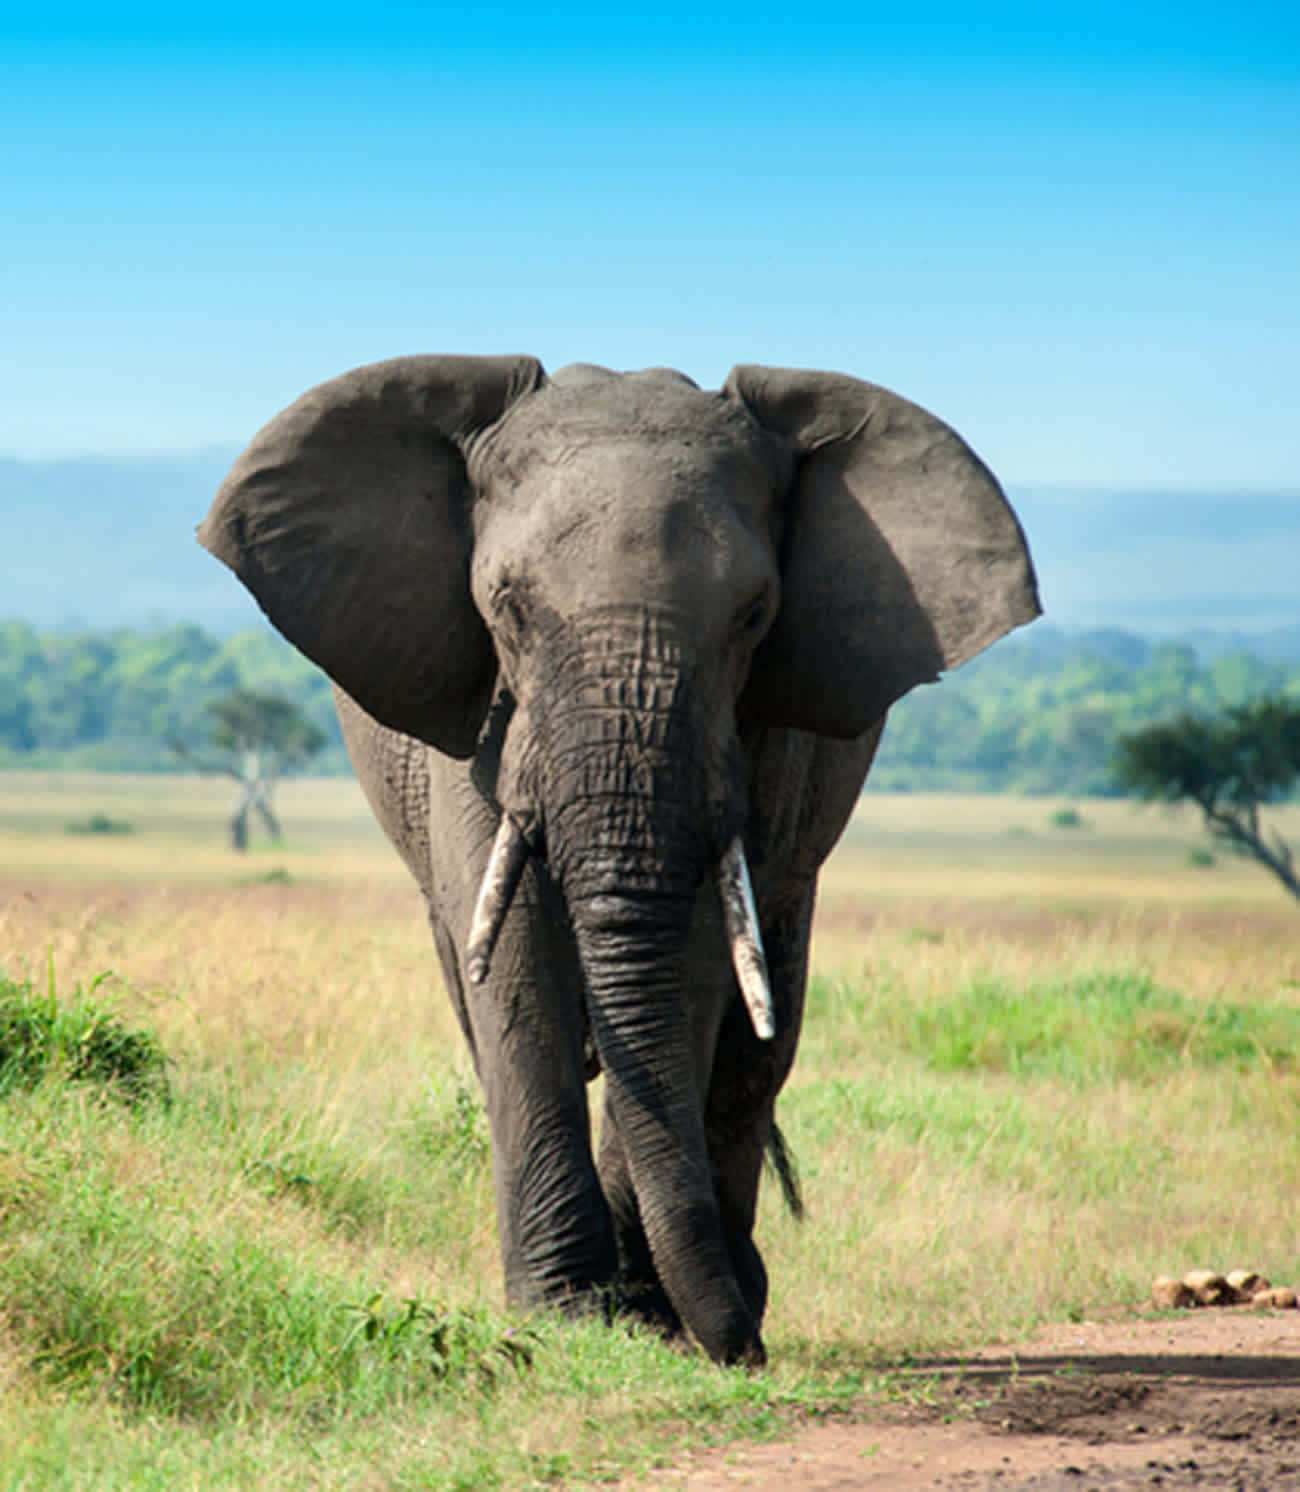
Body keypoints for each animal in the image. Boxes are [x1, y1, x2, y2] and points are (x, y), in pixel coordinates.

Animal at [199, 355, 1039, 1367]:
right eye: (506, 605)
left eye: (754, 614)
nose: (745, 1356)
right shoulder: (478, 715)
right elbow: (513, 959)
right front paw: (565, 1312)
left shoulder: (757, 737)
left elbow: (698, 960)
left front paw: (647, 1318)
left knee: (763, 1033)